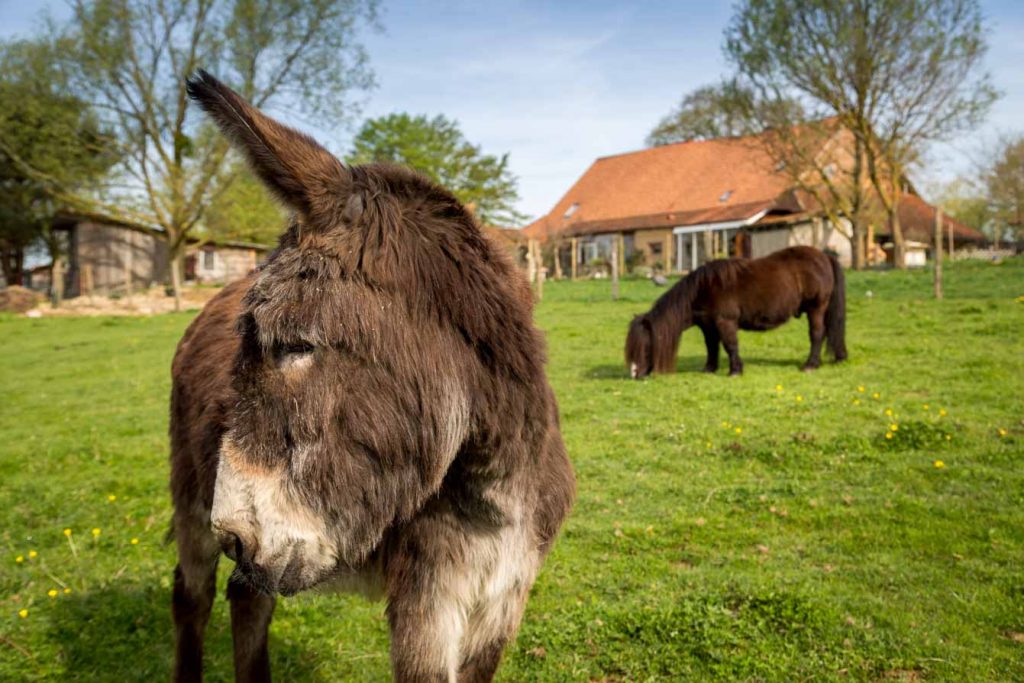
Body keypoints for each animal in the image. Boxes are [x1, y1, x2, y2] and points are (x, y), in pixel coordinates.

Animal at [168, 70, 577, 683]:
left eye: (294, 345)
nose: (236, 537)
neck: (495, 489)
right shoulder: (427, 602)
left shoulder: (505, 597)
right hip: (191, 499)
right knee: (192, 596)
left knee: (248, 598)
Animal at [622, 246, 847, 378]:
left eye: (645, 345)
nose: (635, 374)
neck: (702, 289)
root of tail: (824, 256)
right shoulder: (708, 326)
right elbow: (712, 347)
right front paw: (709, 369)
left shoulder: (725, 322)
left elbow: (730, 345)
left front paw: (735, 371)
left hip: (815, 308)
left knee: (816, 334)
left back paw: (810, 365)